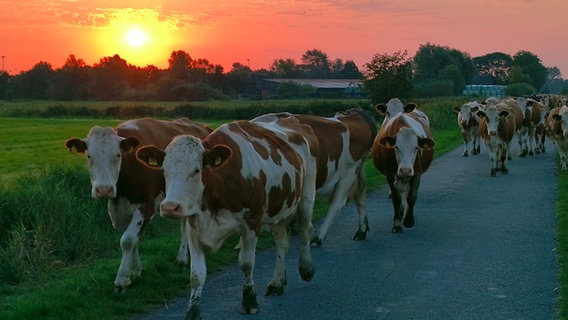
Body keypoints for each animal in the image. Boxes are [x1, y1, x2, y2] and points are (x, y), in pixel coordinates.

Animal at [64, 117, 211, 290]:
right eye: (89, 156)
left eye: (118, 155)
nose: (104, 189)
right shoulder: (119, 211)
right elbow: (133, 239)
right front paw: (135, 270)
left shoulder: (146, 206)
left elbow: (127, 240)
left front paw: (122, 279)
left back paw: (182, 257)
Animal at [253, 109, 378, 246]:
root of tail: (354, 114)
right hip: (357, 170)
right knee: (360, 193)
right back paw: (361, 230)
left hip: (349, 170)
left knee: (337, 203)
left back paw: (318, 238)